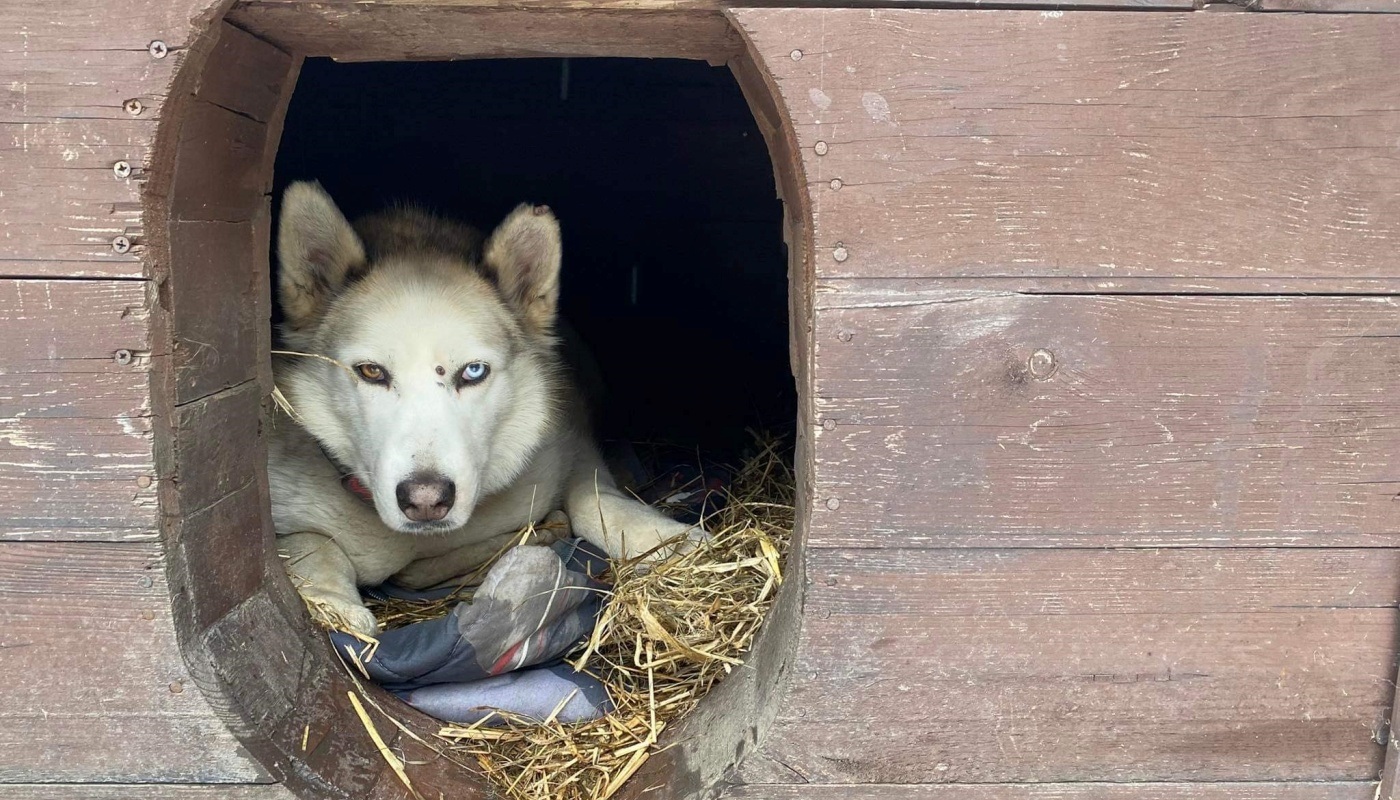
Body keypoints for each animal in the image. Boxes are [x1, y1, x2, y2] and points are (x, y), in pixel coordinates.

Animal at [266, 183, 700, 638]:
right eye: (371, 371)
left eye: (473, 372)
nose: (426, 499)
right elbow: (309, 543)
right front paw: (332, 601)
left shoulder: (569, 445)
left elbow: (592, 500)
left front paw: (668, 537)